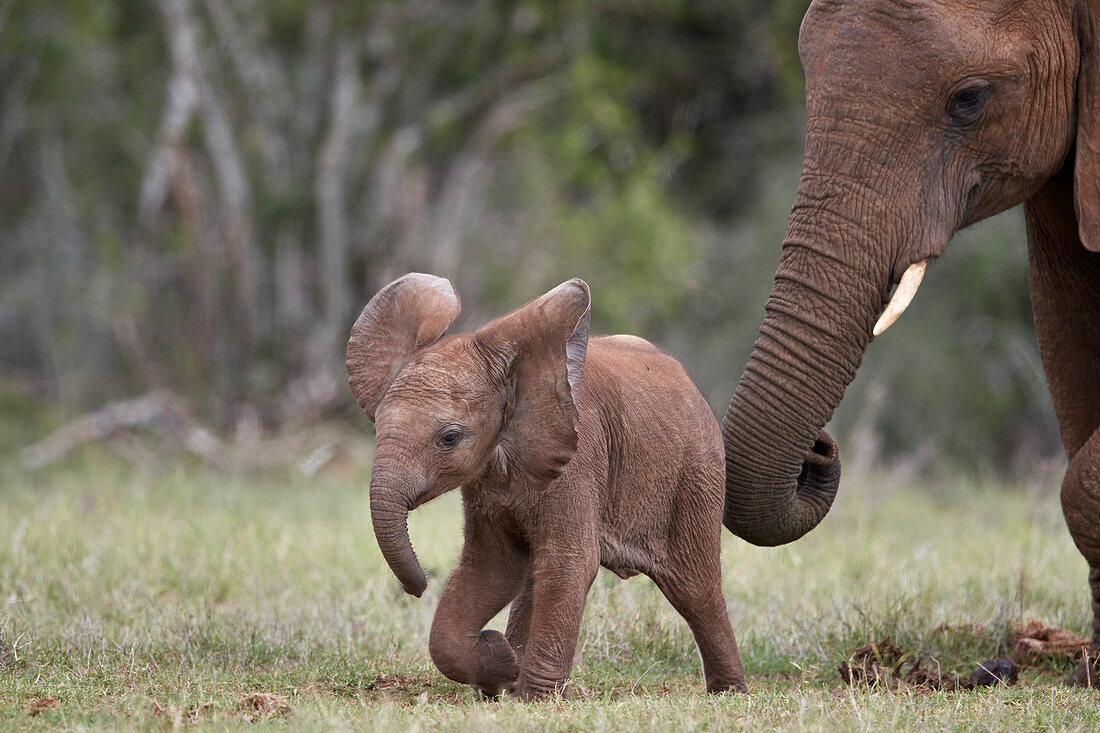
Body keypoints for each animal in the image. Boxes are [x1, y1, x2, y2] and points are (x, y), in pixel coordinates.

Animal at [345, 272, 748, 695]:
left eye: (449, 438)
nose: (418, 587)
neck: (518, 378)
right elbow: (491, 568)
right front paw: (502, 667)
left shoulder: (578, 462)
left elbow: (569, 562)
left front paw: (532, 697)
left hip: (696, 473)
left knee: (695, 586)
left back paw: (729, 693)